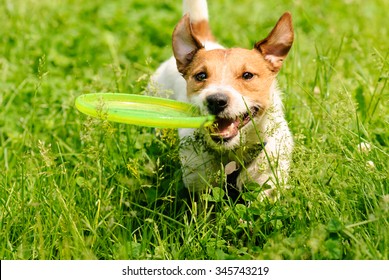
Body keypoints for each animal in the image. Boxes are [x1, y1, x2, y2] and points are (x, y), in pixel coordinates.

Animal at [150, 0, 292, 201]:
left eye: (247, 75)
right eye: (201, 75)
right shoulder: (199, 184)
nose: (216, 101)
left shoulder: (266, 181)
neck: (232, 154)